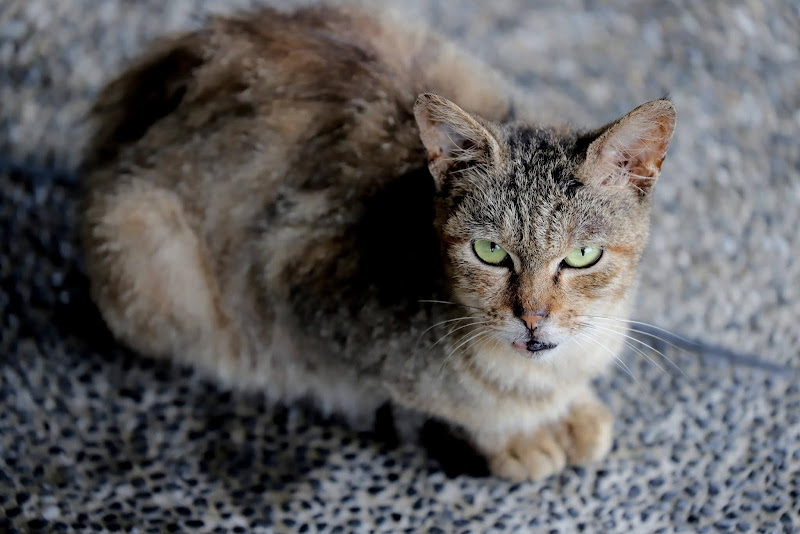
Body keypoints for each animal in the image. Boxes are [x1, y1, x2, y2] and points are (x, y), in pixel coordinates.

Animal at [81, 3, 676, 482]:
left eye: (582, 256)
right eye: (490, 252)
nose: (532, 318)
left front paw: (570, 409)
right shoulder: (295, 275)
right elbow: (465, 406)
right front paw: (516, 435)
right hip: (140, 239)